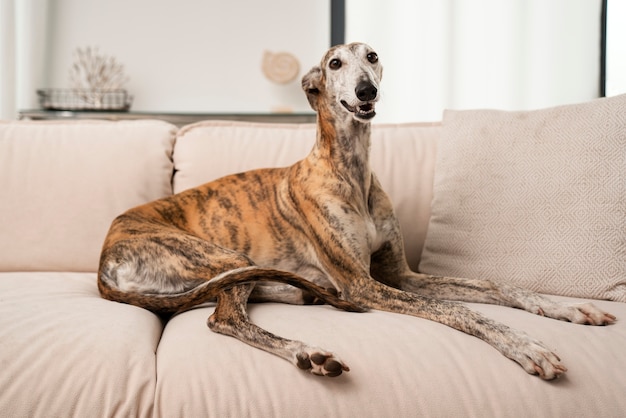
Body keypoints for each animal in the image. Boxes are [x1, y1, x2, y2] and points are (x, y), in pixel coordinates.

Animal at [98, 42, 616, 378]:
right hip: (226, 258)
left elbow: (492, 285)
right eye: (334, 63)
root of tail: (106, 259)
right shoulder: (363, 283)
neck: (351, 171)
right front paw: (525, 344)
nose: (366, 91)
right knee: (224, 318)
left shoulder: (399, 275)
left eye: (372, 56)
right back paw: (307, 351)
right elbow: (457, 309)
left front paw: (566, 308)